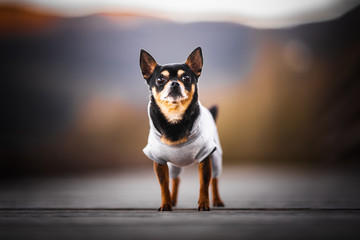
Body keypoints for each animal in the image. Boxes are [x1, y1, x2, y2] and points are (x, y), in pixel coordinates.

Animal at [139, 47, 224, 212]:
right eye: (160, 80)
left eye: (186, 78)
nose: (174, 84)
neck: (174, 117)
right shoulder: (159, 162)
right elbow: (164, 185)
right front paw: (166, 204)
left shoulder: (205, 158)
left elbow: (204, 184)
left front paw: (204, 204)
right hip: (173, 166)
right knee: (175, 180)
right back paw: (173, 200)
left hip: (216, 158)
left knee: (215, 180)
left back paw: (217, 200)